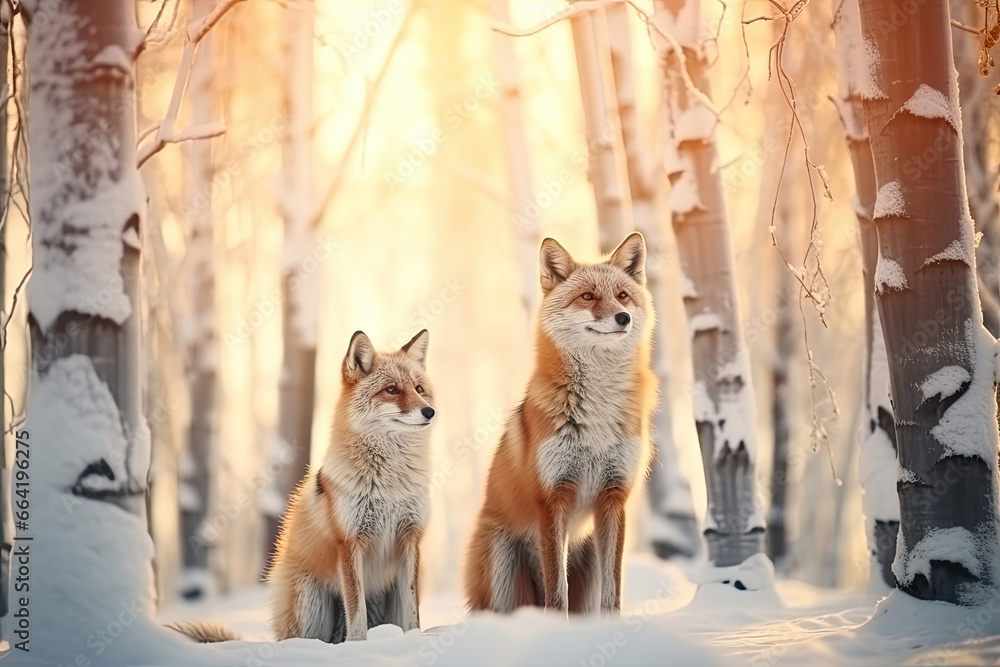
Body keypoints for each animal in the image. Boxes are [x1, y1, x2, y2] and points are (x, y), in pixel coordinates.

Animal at [464, 232, 657, 617]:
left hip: (590, 555)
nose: (623, 317)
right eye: (588, 296)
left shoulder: (613, 496)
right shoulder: (553, 498)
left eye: (622, 295)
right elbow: (557, 593)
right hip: (503, 565)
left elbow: (612, 594)